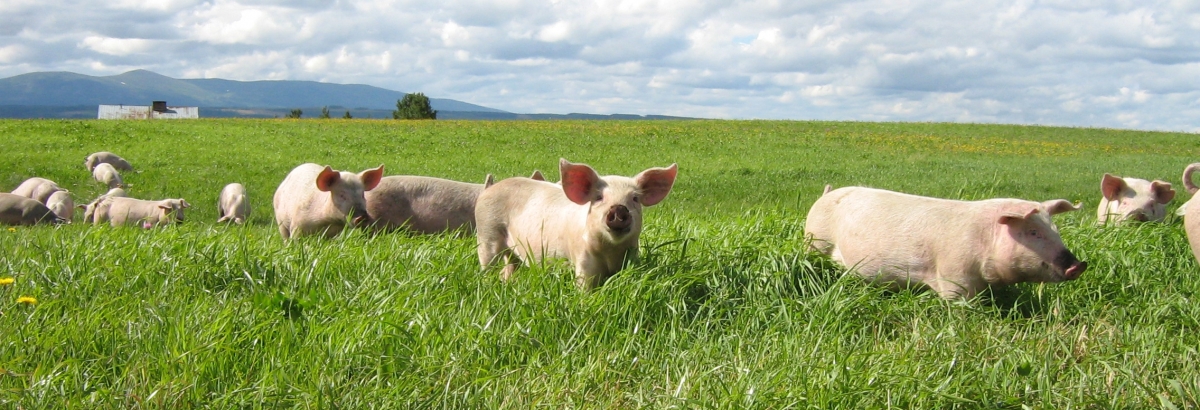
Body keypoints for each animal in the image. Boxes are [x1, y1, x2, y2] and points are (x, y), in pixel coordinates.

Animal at [477, 158, 686, 290]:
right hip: (487, 234)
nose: (619, 209)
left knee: (508, 268)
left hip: (510, 251)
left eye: (635, 198)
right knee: (488, 266)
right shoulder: (583, 262)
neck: (610, 252)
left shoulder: (631, 259)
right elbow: (584, 288)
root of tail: (488, 190)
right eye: (599, 197)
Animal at [801, 187, 1094, 299]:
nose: (1078, 265)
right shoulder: (954, 276)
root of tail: (826, 194)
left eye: (1055, 230)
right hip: (816, 242)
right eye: (1033, 232)